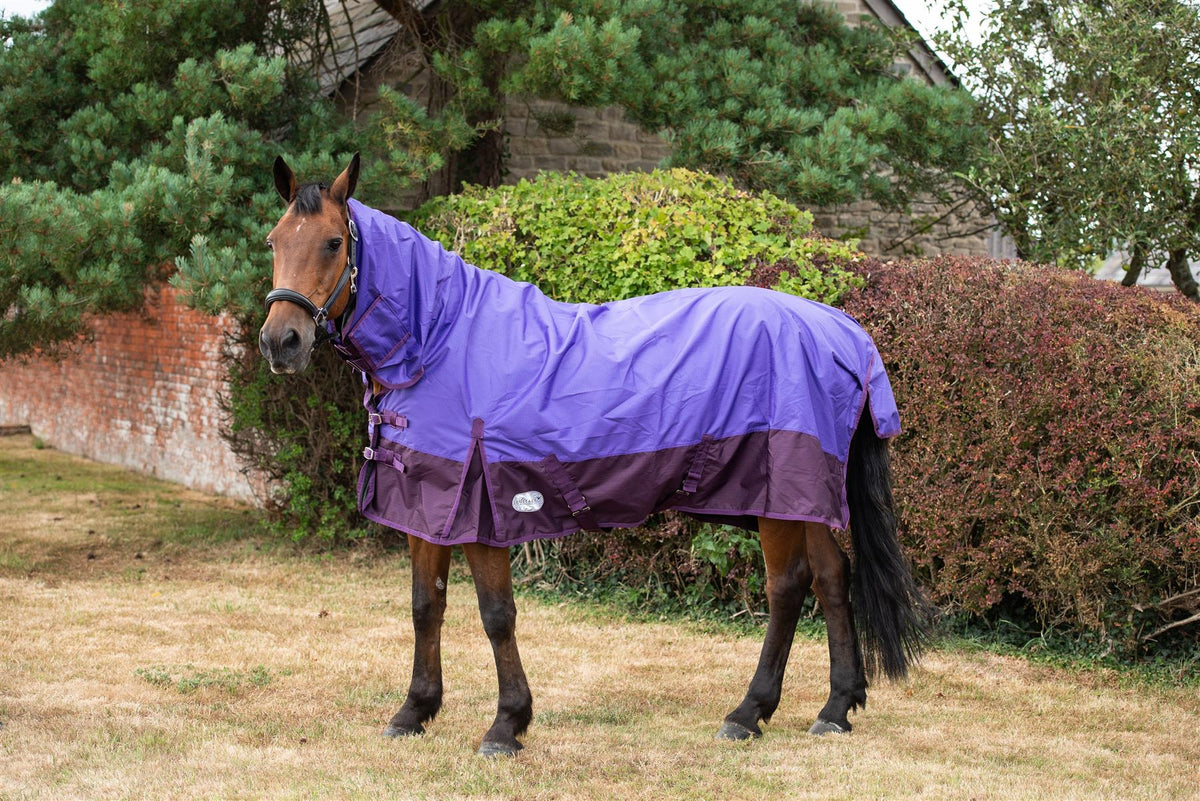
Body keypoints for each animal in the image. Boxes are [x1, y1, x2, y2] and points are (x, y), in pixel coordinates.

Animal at [258, 154, 927, 757]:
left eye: (333, 243)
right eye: (274, 241)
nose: (280, 341)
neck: (440, 338)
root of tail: (840, 328)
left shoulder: (484, 512)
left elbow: (496, 614)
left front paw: (507, 726)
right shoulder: (428, 502)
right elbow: (427, 607)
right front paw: (415, 711)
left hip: (776, 496)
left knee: (787, 587)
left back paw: (748, 712)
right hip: (802, 496)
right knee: (833, 576)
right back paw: (836, 708)